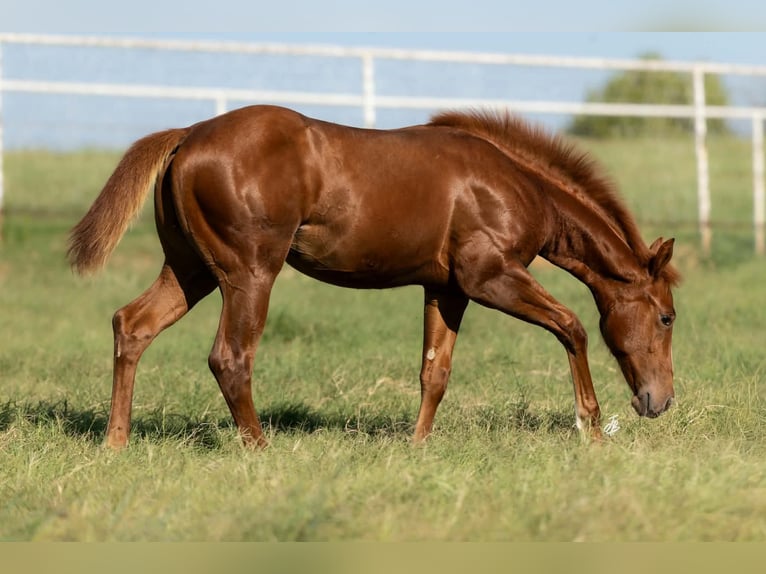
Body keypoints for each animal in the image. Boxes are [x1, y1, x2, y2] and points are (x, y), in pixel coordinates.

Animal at [68, 105, 680, 449]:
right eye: (668, 317)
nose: (660, 401)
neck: (512, 183)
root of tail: (188, 133)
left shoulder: (446, 290)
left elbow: (435, 371)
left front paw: (417, 448)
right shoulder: (490, 279)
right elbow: (572, 326)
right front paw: (591, 429)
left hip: (190, 269)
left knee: (132, 325)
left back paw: (115, 444)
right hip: (249, 274)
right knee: (230, 357)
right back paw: (259, 449)